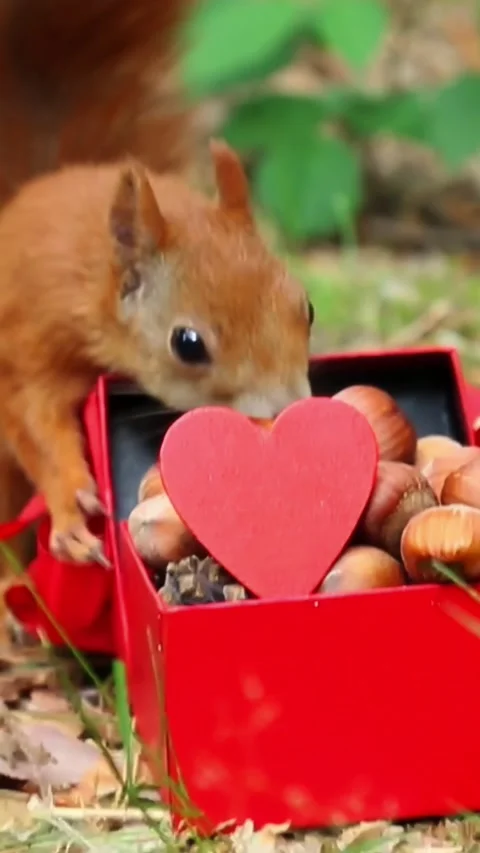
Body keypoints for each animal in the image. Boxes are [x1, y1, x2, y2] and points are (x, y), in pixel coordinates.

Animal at [0, 0, 313, 571]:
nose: (288, 411)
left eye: (308, 308)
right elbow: (36, 425)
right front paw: (71, 508)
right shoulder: (26, 344)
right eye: (187, 345)